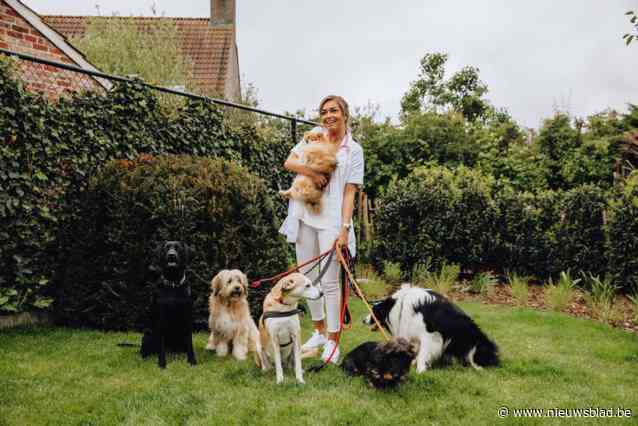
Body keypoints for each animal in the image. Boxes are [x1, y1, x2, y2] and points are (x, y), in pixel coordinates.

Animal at [364, 286, 500, 372]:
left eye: (374, 311)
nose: (363, 320)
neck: (398, 306)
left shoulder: (429, 336)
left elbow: (422, 354)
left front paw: (420, 371)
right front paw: (414, 363)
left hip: (476, 342)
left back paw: (478, 368)